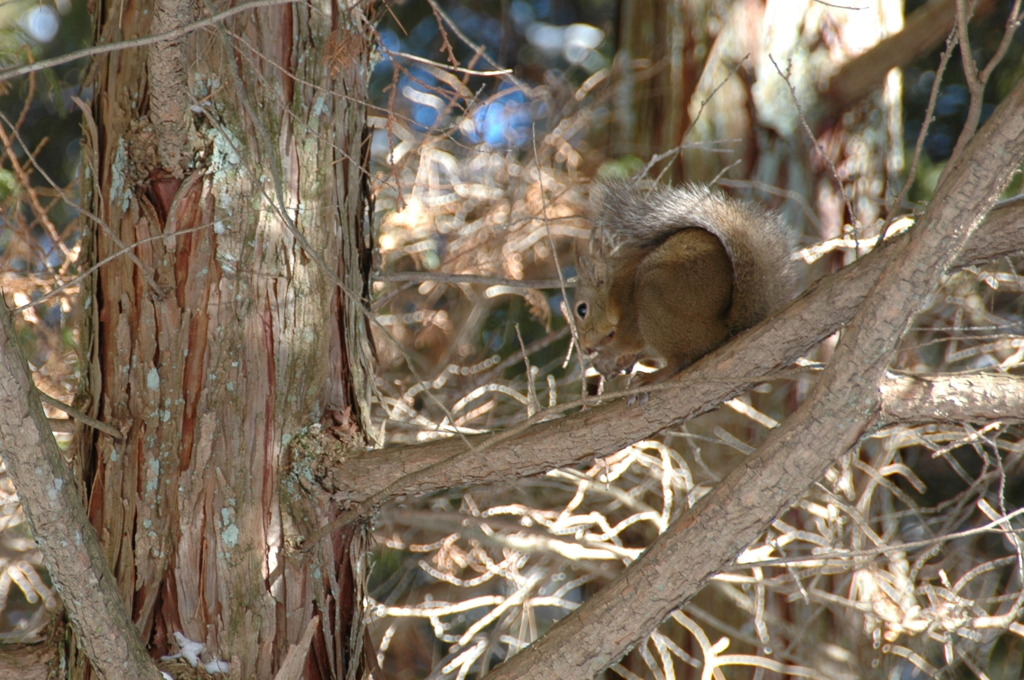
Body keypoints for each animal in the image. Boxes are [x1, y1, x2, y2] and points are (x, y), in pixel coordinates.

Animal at [573, 180, 794, 383]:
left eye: (582, 310)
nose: (585, 348)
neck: (613, 285)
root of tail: (723, 328)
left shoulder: (627, 300)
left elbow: (629, 338)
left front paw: (606, 356)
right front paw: (618, 361)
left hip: (652, 297)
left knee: (679, 361)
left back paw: (652, 377)